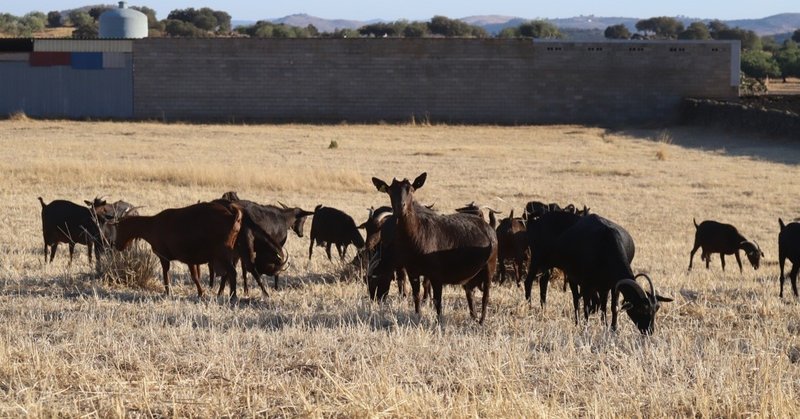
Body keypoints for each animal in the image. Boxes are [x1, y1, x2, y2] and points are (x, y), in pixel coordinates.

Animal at [112, 203, 244, 298]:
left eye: (118, 227)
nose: (116, 245)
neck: (152, 225)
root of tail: (232, 217)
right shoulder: (190, 259)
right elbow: (195, 276)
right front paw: (200, 293)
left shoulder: (165, 257)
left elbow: (167, 274)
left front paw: (168, 292)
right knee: (226, 274)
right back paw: (220, 294)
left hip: (223, 254)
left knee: (232, 272)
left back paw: (233, 296)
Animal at [372, 173, 496, 324]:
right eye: (390, 191)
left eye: (411, 189)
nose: (400, 207)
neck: (417, 236)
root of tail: (489, 227)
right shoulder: (412, 271)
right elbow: (416, 296)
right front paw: (417, 316)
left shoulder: (436, 274)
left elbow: (437, 300)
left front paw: (439, 321)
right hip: (471, 275)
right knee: (470, 292)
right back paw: (474, 317)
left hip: (490, 267)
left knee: (486, 295)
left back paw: (482, 320)